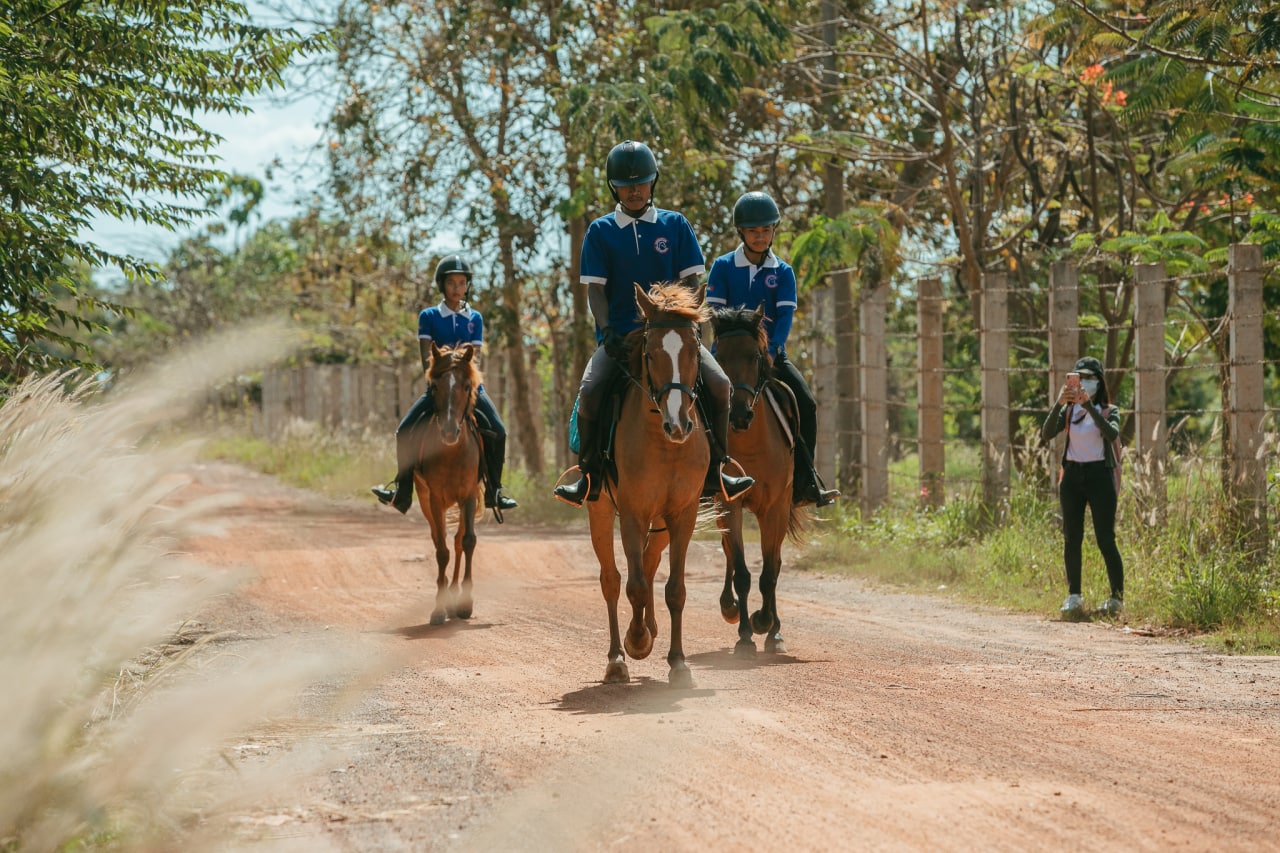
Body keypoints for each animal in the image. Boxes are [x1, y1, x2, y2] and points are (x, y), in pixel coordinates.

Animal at [586, 281, 716, 686]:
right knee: (612, 580)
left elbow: (674, 589)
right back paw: (617, 656)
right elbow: (635, 585)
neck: (663, 443)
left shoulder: (683, 514)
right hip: (600, 510)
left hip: (661, 521)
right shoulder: (632, 513)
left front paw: (678, 662)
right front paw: (637, 641)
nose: (679, 425)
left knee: (649, 559)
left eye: (694, 350)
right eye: (652, 352)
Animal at [706, 306, 803, 650]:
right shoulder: (729, 504)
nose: (738, 414)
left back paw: (773, 626)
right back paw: (730, 607)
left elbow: (770, 571)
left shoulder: (775, 508)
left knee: (773, 563)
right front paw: (747, 635)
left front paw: (768, 626)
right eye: (719, 355)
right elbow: (743, 572)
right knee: (729, 555)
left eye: (755, 356)